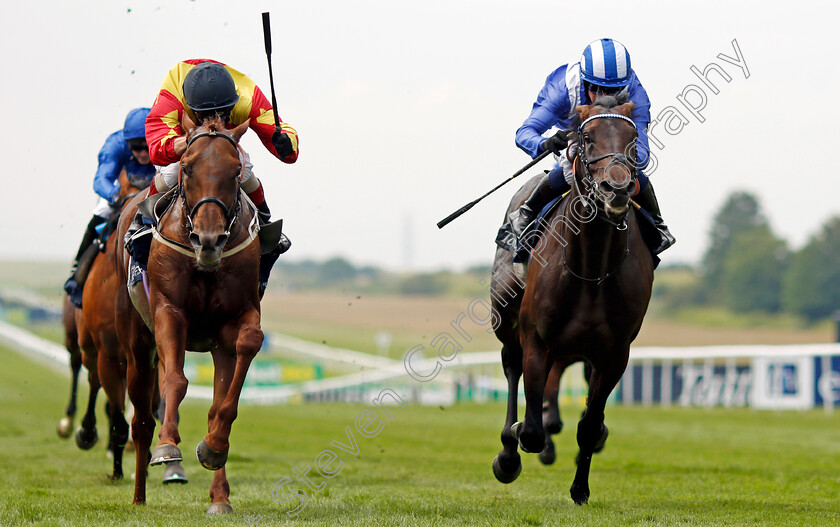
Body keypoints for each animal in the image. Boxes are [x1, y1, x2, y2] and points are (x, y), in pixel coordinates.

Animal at [113, 114, 260, 512]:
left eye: (236, 169)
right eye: (188, 167)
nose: (208, 240)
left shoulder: (236, 319)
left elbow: (243, 358)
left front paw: (214, 447)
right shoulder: (169, 310)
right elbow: (175, 381)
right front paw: (167, 447)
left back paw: (220, 496)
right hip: (136, 345)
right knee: (142, 419)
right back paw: (139, 493)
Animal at [492, 97, 656, 506]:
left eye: (633, 136)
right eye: (587, 136)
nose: (617, 188)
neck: (592, 267)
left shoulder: (613, 353)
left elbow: (589, 425)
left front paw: (580, 488)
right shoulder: (538, 341)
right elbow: (531, 429)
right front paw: (518, 440)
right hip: (508, 322)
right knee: (511, 368)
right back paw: (507, 453)